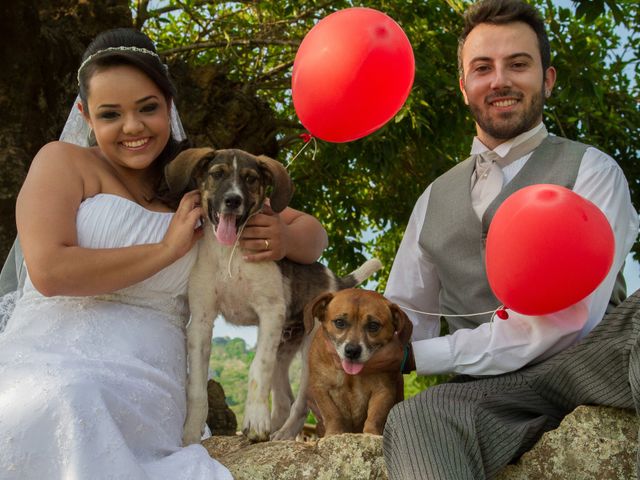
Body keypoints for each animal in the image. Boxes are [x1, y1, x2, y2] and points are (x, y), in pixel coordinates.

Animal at [165, 148, 382, 444]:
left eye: (251, 179)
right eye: (217, 174)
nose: (233, 200)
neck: (230, 254)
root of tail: (336, 282)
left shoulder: (270, 313)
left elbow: (259, 366)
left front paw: (256, 421)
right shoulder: (201, 319)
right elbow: (196, 386)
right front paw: (189, 435)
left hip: (311, 353)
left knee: (300, 402)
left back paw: (284, 433)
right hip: (284, 347)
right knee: (285, 398)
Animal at [304, 286, 412, 436]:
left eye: (373, 325)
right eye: (339, 322)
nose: (352, 351)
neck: (350, 376)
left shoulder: (383, 390)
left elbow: (375, 415)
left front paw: (371, 433)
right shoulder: (321, 388)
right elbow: (332, 413)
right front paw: (334, 432)